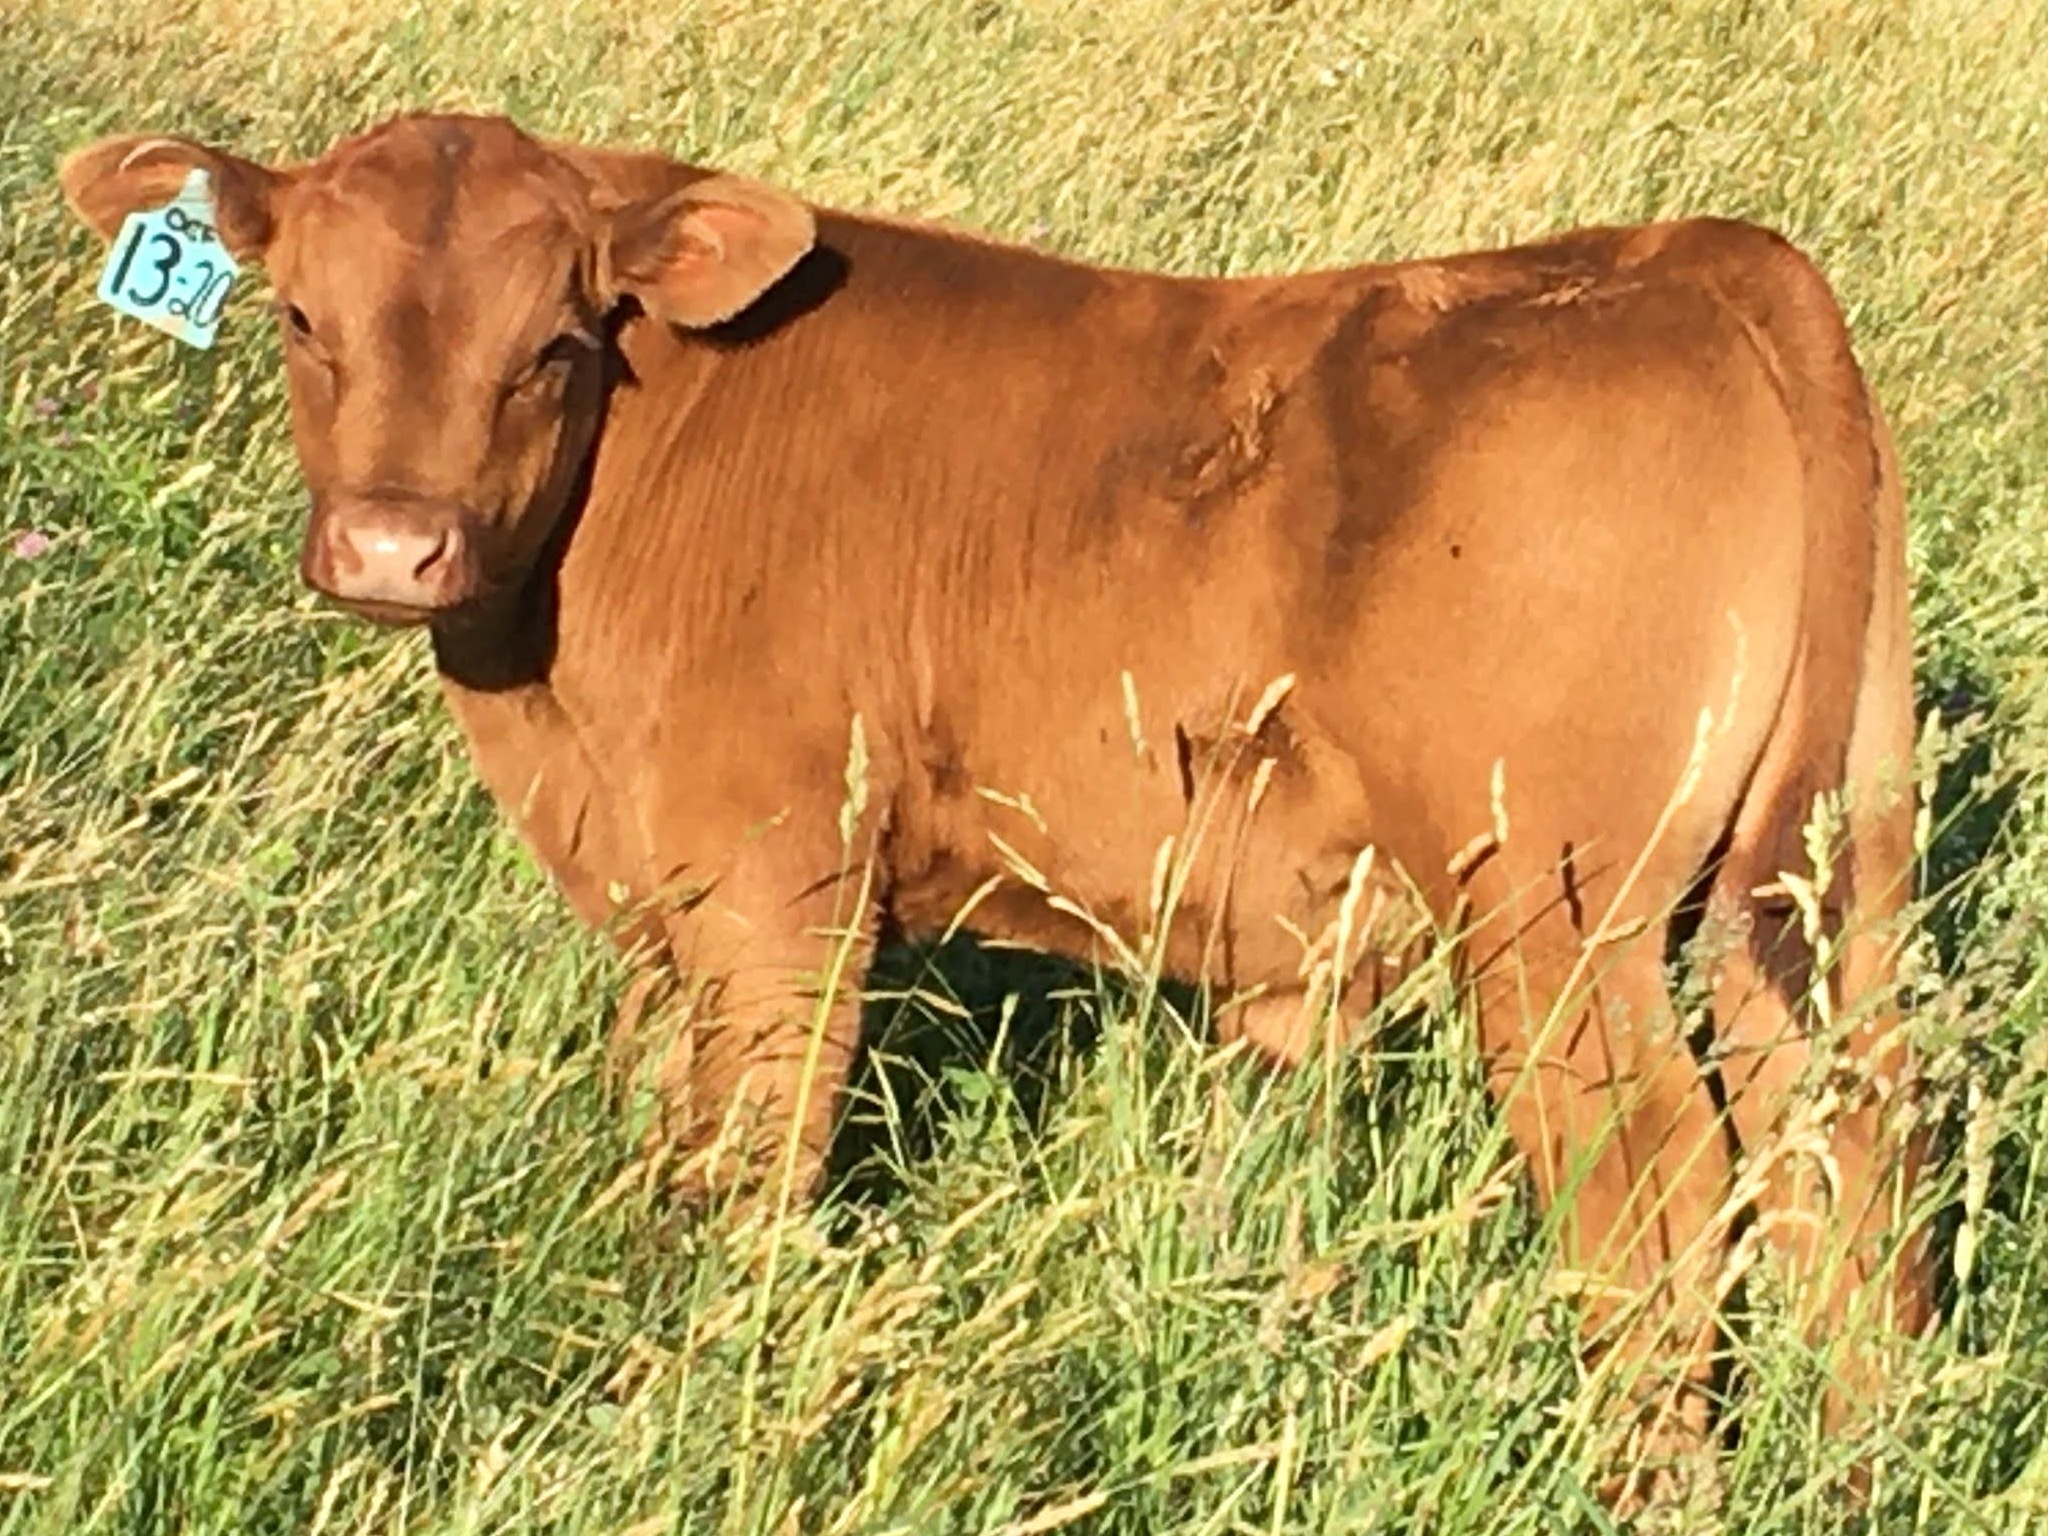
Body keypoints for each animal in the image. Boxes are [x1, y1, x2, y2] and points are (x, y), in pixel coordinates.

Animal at [60, 112, 1933, 1505]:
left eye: (555, 347)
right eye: (301, 321)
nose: (395, 546)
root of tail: (1701, 253)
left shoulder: (777, 893)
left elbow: (750, 1168)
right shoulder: (661, 902)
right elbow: (658, 1140)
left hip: (1554, 918)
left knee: (1661, 1183)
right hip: (1819, 879)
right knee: (1847, 1154)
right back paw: (1859, 1458)